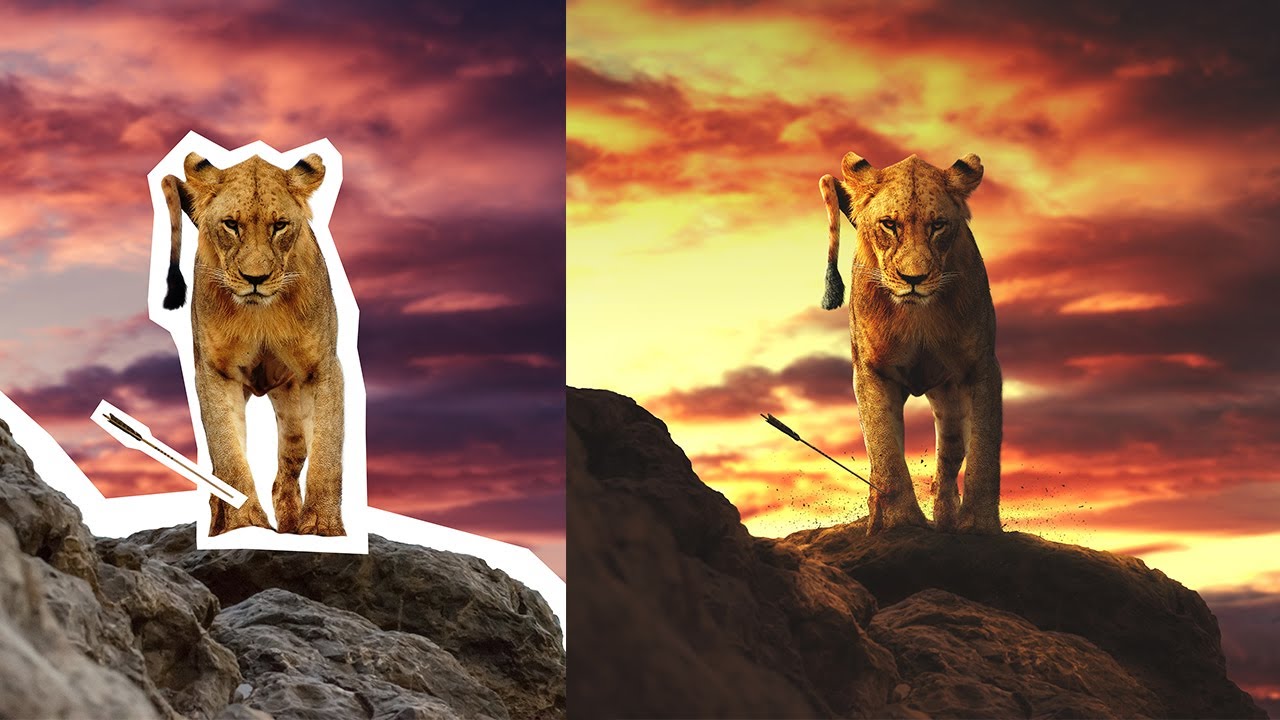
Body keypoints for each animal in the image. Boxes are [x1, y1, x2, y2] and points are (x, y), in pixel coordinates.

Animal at [160, 152, 346, 537]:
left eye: (280, 226)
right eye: (231, 225)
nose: (255, 279)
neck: (260, 314)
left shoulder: (323, 368)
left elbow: (327, 450)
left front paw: (323, 528)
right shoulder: (216, 373)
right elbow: (229, 454)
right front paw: (244, 525)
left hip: (291, 409)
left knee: (287, 470)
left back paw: (290, 526)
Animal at [819, 151, 1002, 535]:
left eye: (938, 225)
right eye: (889, 224)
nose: (913, 279)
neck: (916, 316)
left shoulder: (982, 368)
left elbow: (984, 451)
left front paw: (979, 525)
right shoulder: (872, 372)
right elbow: (884, 446)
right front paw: (897, 522)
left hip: (950, 402)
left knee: (949, 457)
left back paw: (945, 520)